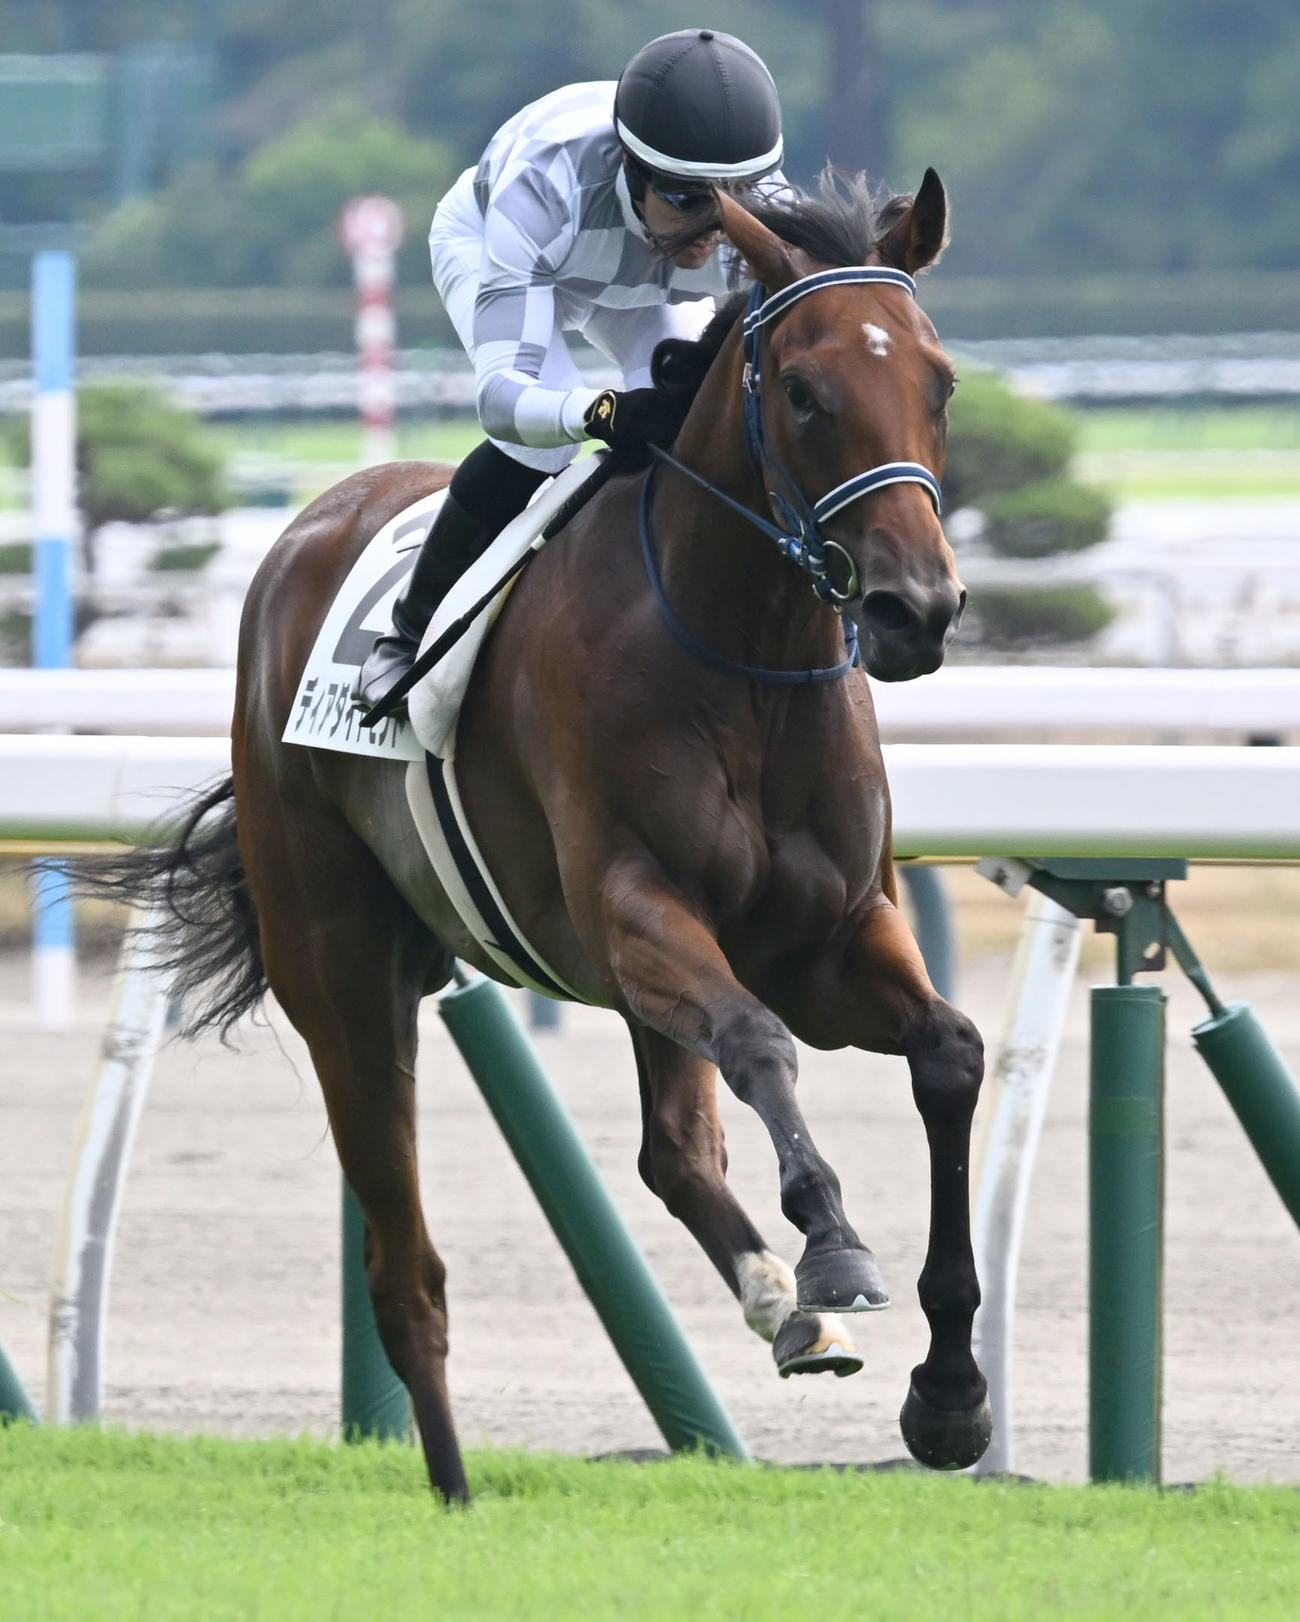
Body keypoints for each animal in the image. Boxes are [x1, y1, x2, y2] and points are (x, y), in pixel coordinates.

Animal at [110, 169, 988, 1503]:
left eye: (937, 380)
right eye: (802, 391)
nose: (913, 608)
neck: (744, 660)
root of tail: (314, 519)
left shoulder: (827, 936)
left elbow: (946, 1053)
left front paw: (947, 1395)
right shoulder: (632, 912)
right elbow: (761, 1041)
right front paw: (834, 1247)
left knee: (674, 1151)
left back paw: (777, 1307)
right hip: (344, 976)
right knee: (405, 1268)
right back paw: (456, 1486)